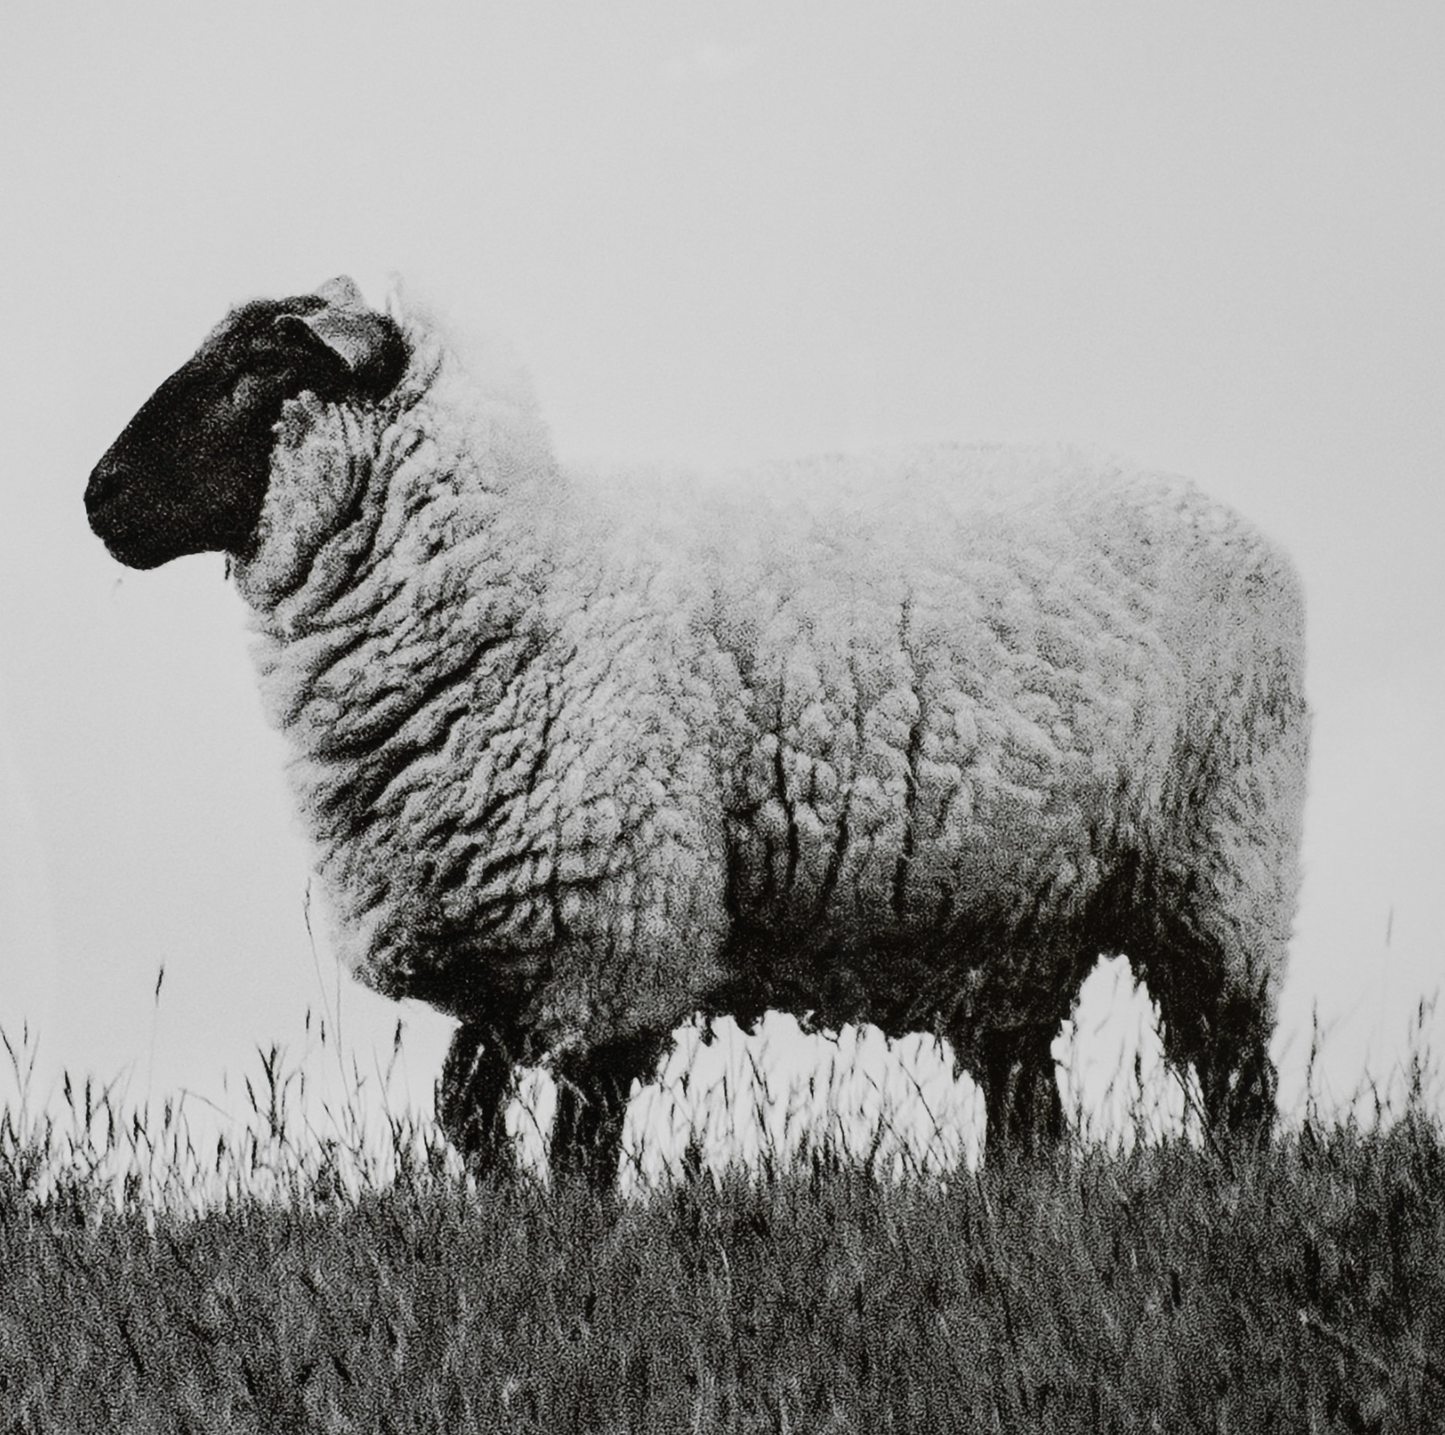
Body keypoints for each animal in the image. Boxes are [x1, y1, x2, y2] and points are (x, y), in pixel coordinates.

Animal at [85, 275, 1310, 1186]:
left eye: (259, 364)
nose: (95, 497)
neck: (531, 582)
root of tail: (1251, 531)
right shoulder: (508, 944)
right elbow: (464, 1113)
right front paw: (502, 1216)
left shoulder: (618, 928)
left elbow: (578, 1147)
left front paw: (568, 1249)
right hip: (1012, 917)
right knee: (1028, 1117)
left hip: (1216, 868)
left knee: (1235, 1080)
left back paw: (1233, 1196)